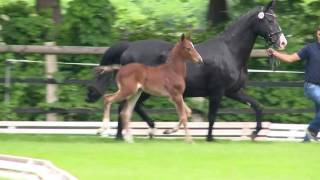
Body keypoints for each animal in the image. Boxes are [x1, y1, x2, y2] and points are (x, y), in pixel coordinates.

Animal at [85, 0, 288, 141]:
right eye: (269, 20)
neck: (230, 52)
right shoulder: (217, 92)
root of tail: (129, 47)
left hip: (143, 90)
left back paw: (142, 131)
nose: (282, 42)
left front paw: (254, 133)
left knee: (129, 106)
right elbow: (212, 116)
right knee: (124, 105)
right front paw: (210, 138)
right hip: (142, 89)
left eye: (275, 18)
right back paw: (128, 134)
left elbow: (257, 106)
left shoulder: (234, 91)